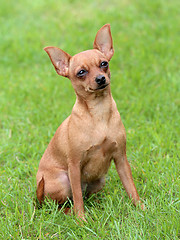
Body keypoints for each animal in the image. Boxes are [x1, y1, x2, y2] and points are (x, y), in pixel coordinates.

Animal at [36, 23, 141, 220]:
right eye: (81, 73)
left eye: (104, 64)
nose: (100, 78)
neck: (98, 112)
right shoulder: (74, 167)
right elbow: (77, 197)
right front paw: (81, 219)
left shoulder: (121, 158)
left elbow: (131, 187)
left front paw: (141, 208)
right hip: (62, 180)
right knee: (60, 205)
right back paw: (70, 212)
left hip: (99, 179)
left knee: (86, 196)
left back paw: (99, 204)